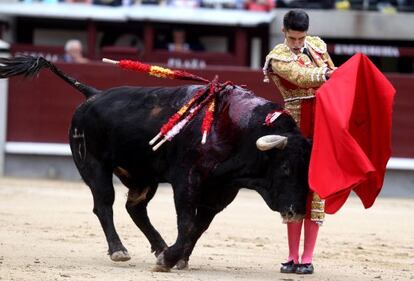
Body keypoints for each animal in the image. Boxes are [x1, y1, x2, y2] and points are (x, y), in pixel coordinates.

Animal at [0, 56, 310, 270]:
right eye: (285, 168)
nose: (296, 212)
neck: (236, 130)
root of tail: (93, 94)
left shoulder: (221, 192)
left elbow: (197, 226)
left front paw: (175, 257)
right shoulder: (187, 180)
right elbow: (186, 222)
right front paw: (170, 259)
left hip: (143, 175)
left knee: (135, 208)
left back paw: (159, 246)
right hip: (93, 166)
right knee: (104, 204)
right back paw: (119, 250)